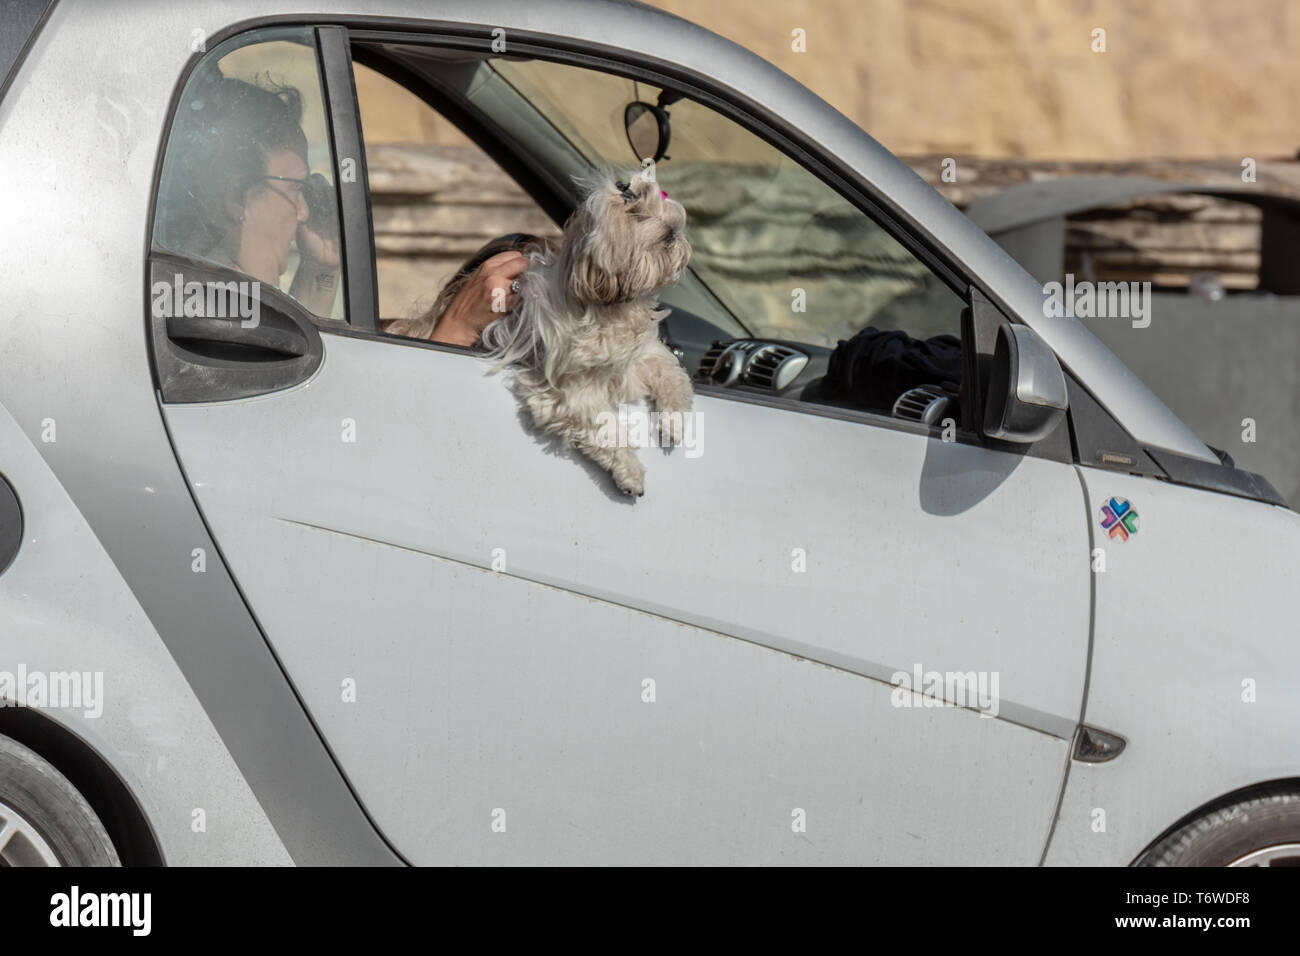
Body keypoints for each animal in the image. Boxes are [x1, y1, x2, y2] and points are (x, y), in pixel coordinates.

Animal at [478, 171, 696, 496]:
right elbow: (605, 427)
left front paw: (674, 421)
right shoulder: (570, 392)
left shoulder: (643, 355)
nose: (673, 233)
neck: (610, 310)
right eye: (637, 214)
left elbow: (673, 377)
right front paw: (630, 471)